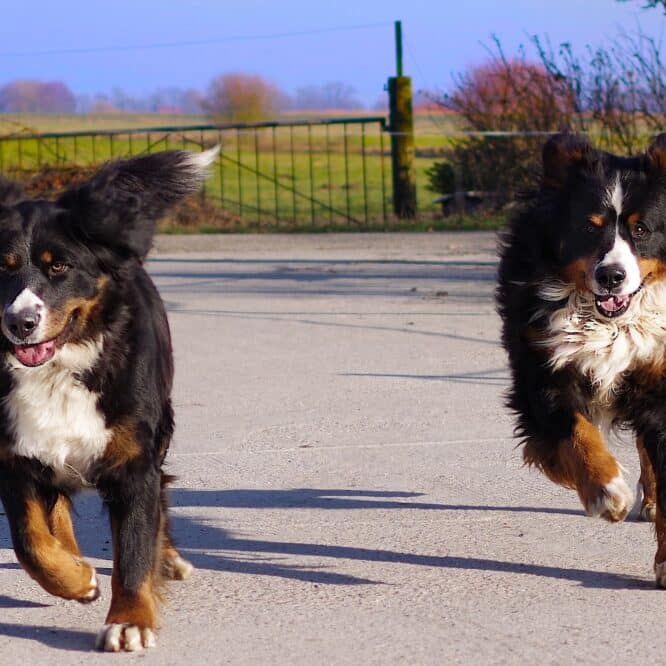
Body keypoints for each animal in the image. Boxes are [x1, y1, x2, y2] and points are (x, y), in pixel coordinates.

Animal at [0, 147, 215, 648]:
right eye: (1, 266)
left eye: (58, 266)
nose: (19, 322)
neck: (60, 369)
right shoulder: (16, 456)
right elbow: (30, 542)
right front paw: (76, 578)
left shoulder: (133, 460)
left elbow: (133, 550)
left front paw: (130, 621)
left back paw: (168, 558)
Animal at [496, 134, 666, 588]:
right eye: (588, 228)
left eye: (642, 229)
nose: (611, 276)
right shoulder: (542, 370)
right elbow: (574, 433)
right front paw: (605, 491)